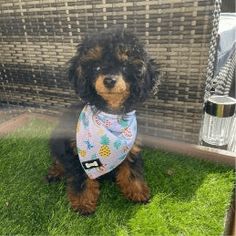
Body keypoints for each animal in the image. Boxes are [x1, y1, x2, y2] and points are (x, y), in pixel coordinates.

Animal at [45, 28, 159, 216]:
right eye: (96, 66)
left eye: (125, 66)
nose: (109, 80)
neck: (110, 116)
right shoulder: (77, 155)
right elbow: (81, 178)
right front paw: (83, 204)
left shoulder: (131, 148)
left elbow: (132, 172)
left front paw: (138, 193)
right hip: (57, 140)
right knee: (59, 158)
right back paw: (55, 172)